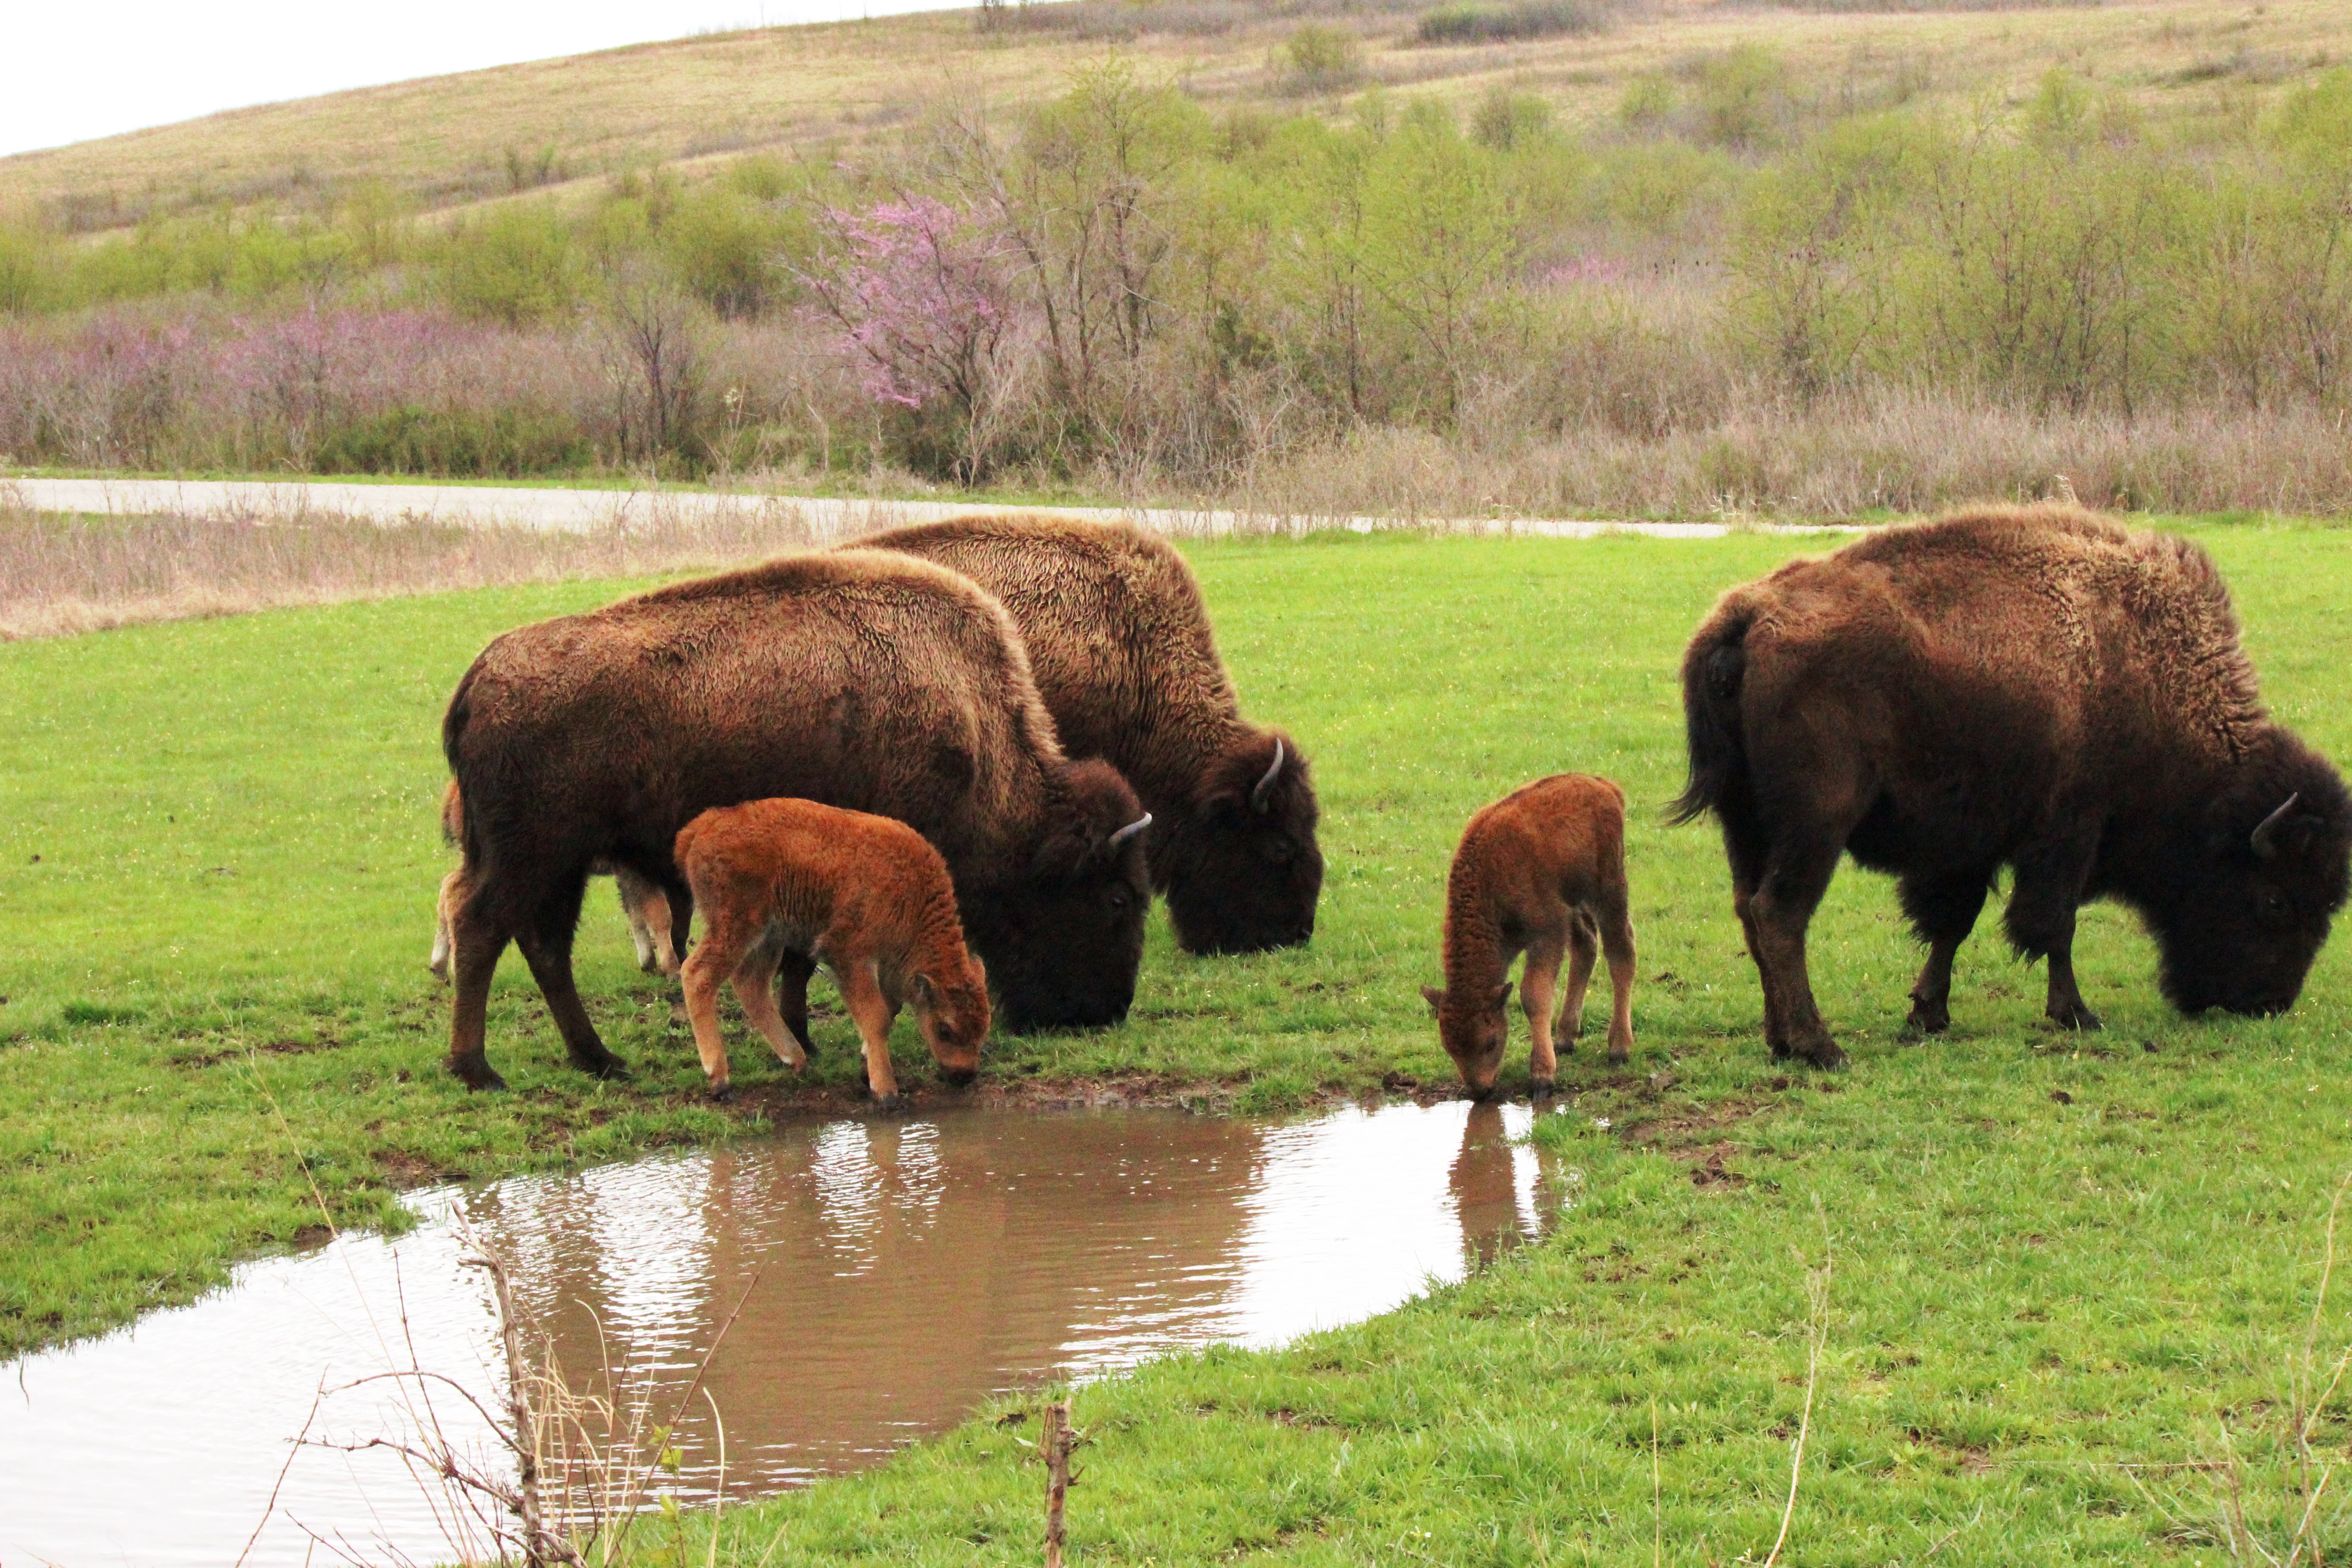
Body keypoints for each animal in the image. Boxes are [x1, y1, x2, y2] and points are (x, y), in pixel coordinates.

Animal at [441, 550, 1150, 1090]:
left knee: (543, 948)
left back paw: (598, 1060)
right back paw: (478, 1071)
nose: (1105, 1013)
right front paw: (809, 1041)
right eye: (1115, 897)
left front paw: (800, 1038)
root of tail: (478, 681)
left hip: (556, 867)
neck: (976, 742)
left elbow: (796, 962)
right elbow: (810, 964)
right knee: (481, 928)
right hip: (528, 858)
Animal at [1672, 504, 2350, 1067]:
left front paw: (1929, 1014)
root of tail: (1745, 619)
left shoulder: (1970, 845)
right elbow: (2054, 925)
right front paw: (2076, 1013)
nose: (2268, 1003)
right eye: (2274, 900)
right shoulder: (2068, 831)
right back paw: (1820, 1048)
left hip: (1745, 821)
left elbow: (1953, 923)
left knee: (1750, 911)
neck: (2138, 667)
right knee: (1780, 914)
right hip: (1817, 823)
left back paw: (1781, 1041)